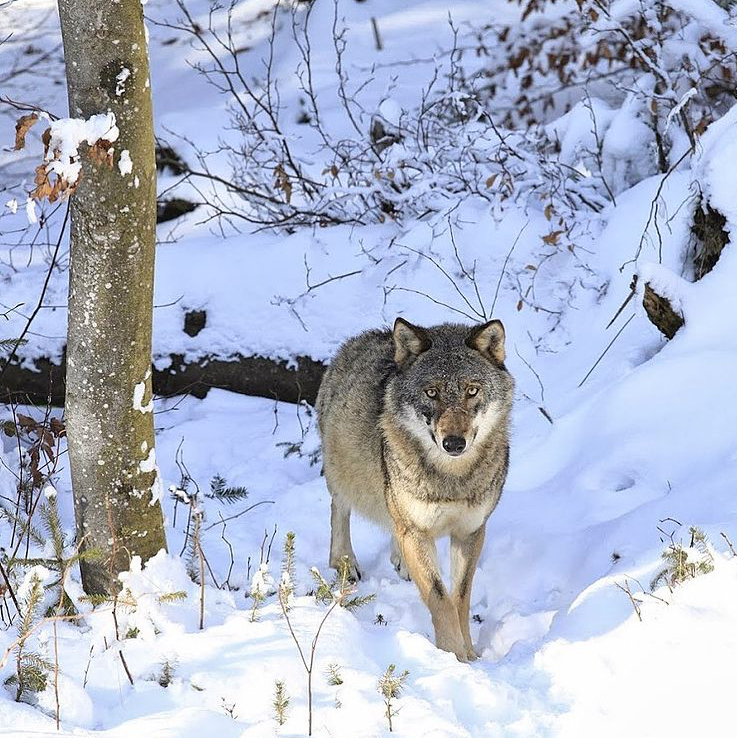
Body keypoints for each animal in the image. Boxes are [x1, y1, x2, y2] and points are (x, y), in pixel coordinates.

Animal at [316, 318, 514, 662]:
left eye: (471, 391)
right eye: (431, 393)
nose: (454, 443)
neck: (451, 479)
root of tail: (364, 337)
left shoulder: (470, 532)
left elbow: (460, 598)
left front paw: (470, 654)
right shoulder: (417, 530)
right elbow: (440, 599)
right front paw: (453, 657)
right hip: (343, 474)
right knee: (339, 508)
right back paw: (344, 561)